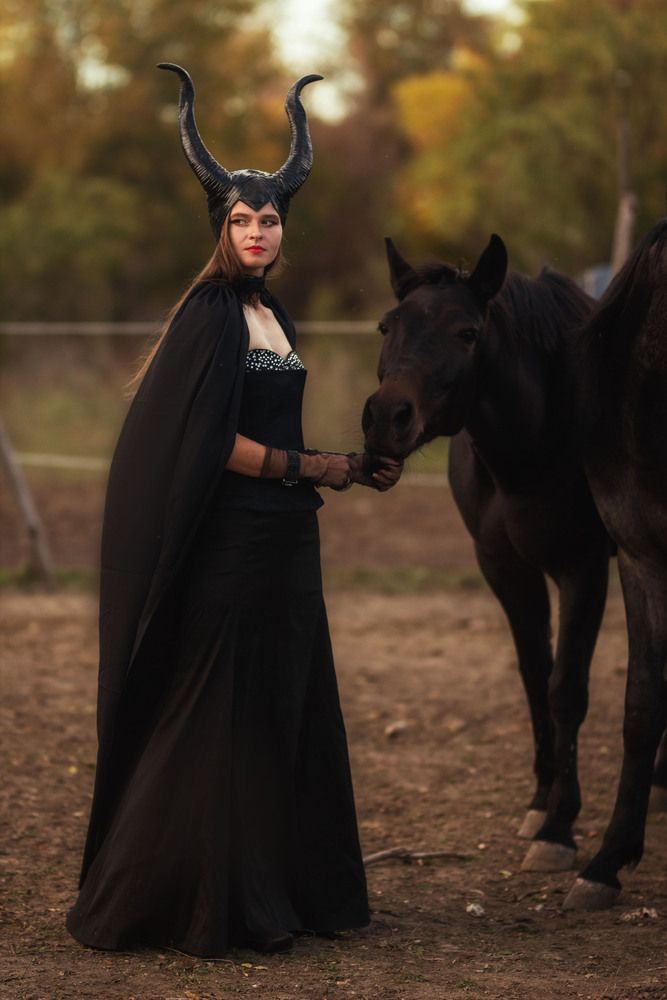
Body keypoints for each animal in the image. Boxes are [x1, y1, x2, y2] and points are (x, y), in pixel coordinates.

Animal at [362, 234, 613, 874]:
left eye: (467, 332)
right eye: (386, 325)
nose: (385, 420)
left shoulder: (584, 566)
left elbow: (567, 687)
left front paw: (561, 829)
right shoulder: (505, 569)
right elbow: (534, 675)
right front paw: (541, 803)